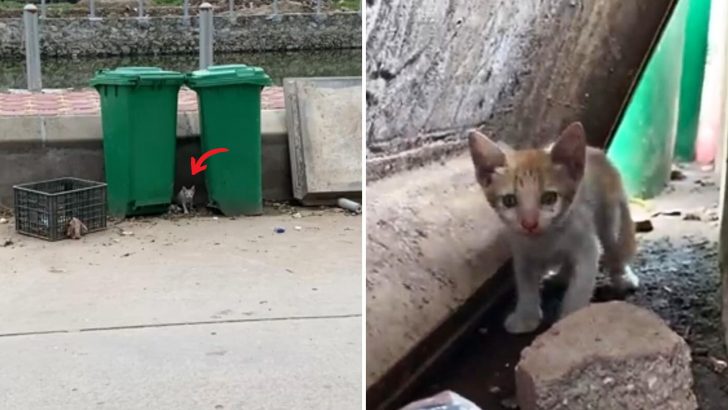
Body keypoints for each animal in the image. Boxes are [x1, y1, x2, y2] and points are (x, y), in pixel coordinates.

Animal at [472, 121, 636, 334]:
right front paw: (526, 316)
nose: (529, 223)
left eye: (549, 198)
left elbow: (580, 285)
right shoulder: (522, 251)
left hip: (611, 216)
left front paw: (570, 318)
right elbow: (525, 283)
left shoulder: (586, 245)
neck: (545, 239)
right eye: (509, 201)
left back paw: (623, 276)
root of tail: (597, 152)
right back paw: (561, 276)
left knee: (614, 246)